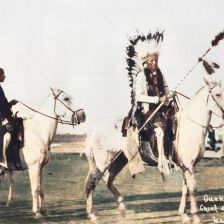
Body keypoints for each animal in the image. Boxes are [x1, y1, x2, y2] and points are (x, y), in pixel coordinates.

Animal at [0, 87, 86, 217]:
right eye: (66, 99)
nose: (82, 115)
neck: (38, 133)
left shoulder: (41, 168)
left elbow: (41, 189)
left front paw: (44, 211)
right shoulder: (33, 168)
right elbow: (35, 189)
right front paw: (37, 212)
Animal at [85, 67, 223, 221]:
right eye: (217, 94)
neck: (190, 126)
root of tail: (94, 129)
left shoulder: (186, 167)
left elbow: (186, 188)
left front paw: (183, 214)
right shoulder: (188, 166)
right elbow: (193, 189)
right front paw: (196, 217)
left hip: (119, 160)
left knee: (108, 179)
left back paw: (122, 209)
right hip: (102, 162)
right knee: (91, 183)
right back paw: (92, 215)